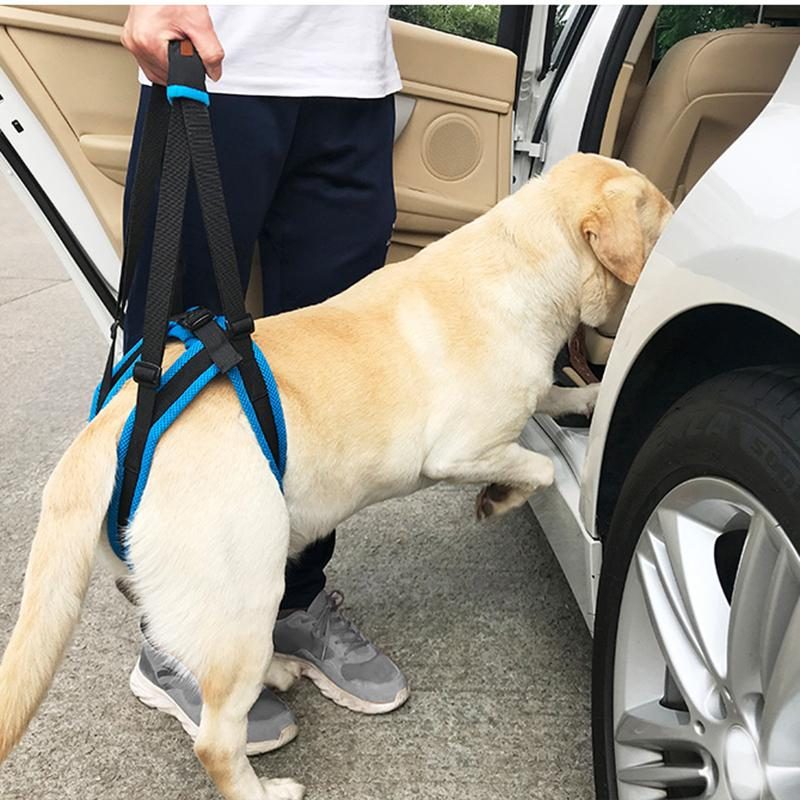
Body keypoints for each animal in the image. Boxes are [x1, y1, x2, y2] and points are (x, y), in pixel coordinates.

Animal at [0, 153, 668, 796]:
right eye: (664, 215)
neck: (525, 254)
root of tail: (110, 427)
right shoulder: (459, 449)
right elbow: (541, 466)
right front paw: (501, 495)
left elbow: (551, 399)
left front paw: (589, 398)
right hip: (245, 582)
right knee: (216, 739)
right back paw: (265, 788)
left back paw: (275, 669)